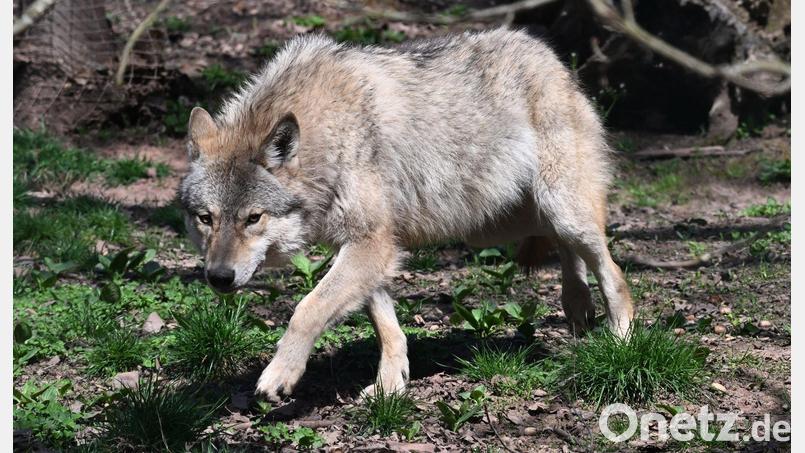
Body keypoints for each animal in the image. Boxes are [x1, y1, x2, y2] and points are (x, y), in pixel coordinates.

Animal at [178, 28, 634, 401]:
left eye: (252, 218)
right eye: (206, 219)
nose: (218, 278)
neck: (329, 135)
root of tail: (552, 57)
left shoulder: (371, 243)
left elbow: (307, 309)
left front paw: (280, 375)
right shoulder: (371, 246)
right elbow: (387, 327)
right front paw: (390, 385)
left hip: (558, 208)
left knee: (612, 271)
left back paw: (620, 340)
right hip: (496, 224)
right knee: (563, 246)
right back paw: (577, 306)